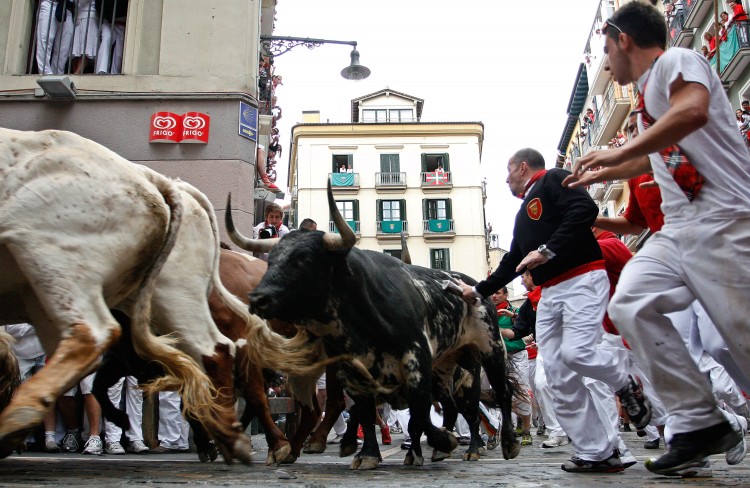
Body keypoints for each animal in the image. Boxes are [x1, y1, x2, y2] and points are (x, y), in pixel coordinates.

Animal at [228, 184, 524, 468]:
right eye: (272, 259)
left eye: (305, 260)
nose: (257, 298)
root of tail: (472, 286)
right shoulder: (354, 374)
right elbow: (367, 414)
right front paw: (368, 453)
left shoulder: (416, 363)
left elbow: (417, 415)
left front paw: (441, 441)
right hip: (444, 368)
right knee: (451, 408)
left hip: (487, 354)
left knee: (492, 399)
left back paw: (497, 445)